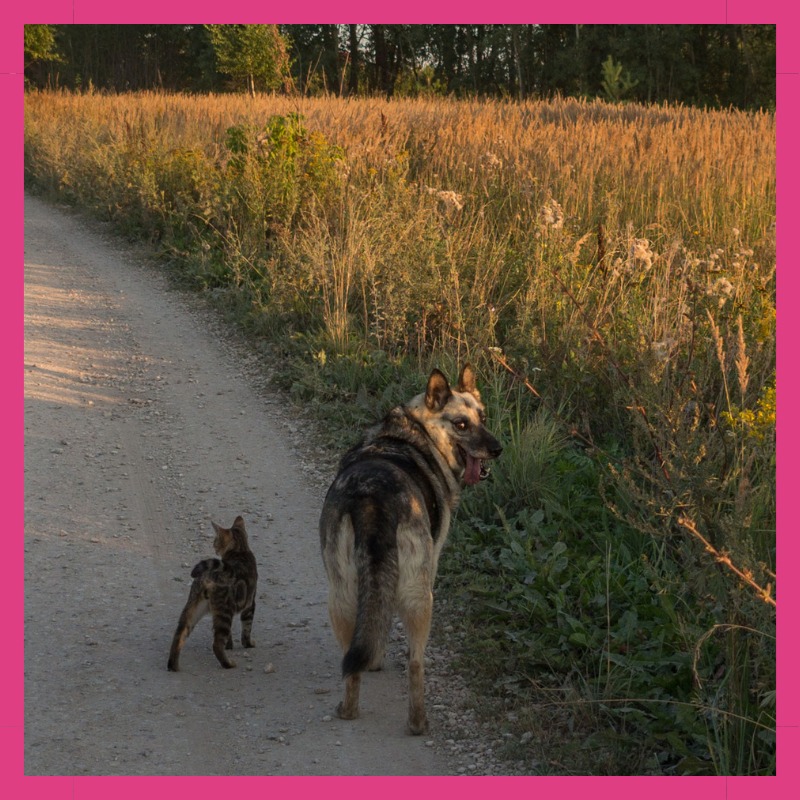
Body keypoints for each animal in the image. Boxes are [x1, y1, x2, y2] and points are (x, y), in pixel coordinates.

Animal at [167, 516, 258, 672]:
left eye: (215, 540)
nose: (214, 546)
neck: (240, 549)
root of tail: (208, 574)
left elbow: (232, 635)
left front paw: (230, 646)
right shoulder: (250, 603)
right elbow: (246, 628)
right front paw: (248, 644)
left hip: (193, 610)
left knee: (179, 636)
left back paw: (173, 665)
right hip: (224, 612)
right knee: (216, 644)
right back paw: (228, 664)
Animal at [318, 366, 500, 736]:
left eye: (484, 417)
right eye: (462, 425)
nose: (498, 449)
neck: (419, 430)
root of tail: (371, 497)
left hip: (340, 594)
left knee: (350, 660)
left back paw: (348, 709)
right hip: (420, 596)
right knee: (416, 664)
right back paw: (418, 723)